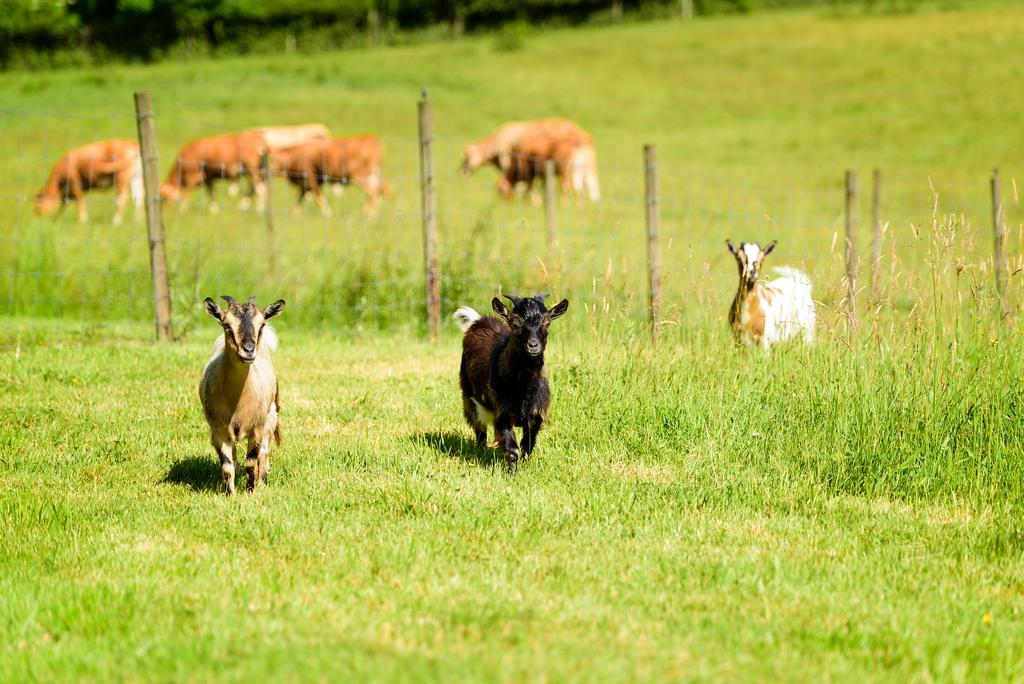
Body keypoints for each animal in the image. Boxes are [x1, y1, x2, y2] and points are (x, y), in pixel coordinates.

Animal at [198, 296, 284, 493]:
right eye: (227, 325)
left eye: (262, 325)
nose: (248, 350)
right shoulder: (218, 431)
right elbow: (227, 465)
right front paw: (230, 493)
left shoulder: (257, 429)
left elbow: (251, 462)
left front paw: (251, 491)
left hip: (270, 418)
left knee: (264, 454)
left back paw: (263, 482)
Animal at [454, 294, 569, 471]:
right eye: (515, 323)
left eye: (547, 323)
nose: (533, 345)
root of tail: (478, 321)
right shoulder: (502, 414)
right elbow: (512, 449)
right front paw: (512, 472)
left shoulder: (536, 415)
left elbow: (528, 444)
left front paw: (526, 465)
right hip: (468, 396)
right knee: (479, 428)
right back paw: (480, 450)